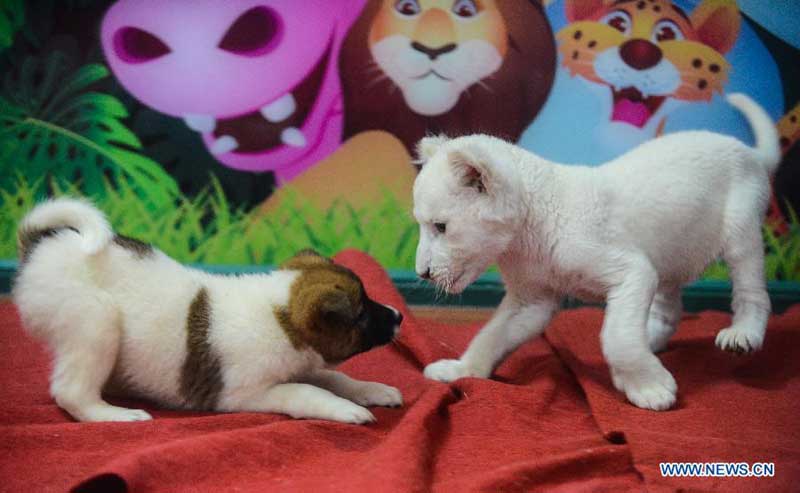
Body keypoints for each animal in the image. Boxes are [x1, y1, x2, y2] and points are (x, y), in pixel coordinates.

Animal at [17, 200, 406, 422]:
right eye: (362, 313)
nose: (399, 316)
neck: (279, 316)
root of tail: (40, 245)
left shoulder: (304, 365)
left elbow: (336, 379)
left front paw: (373, 390)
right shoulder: (246, 393)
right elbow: (307, 392)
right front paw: (347, 409)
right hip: (96, 323)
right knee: (71, 392)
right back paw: (115, 415)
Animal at [412, 93, 780, 412]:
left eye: (440, 227)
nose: (422, 273)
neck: (525, 236)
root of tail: (746, 149)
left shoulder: (631, 272)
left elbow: (617, 337)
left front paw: (650, 389)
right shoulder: (532, 299)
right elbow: (491, 334)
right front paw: (460, 370)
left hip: (740, 235)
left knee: (753, 293)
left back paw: (742, 335)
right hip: (668, 255)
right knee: (668, 308)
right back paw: (651, 340)